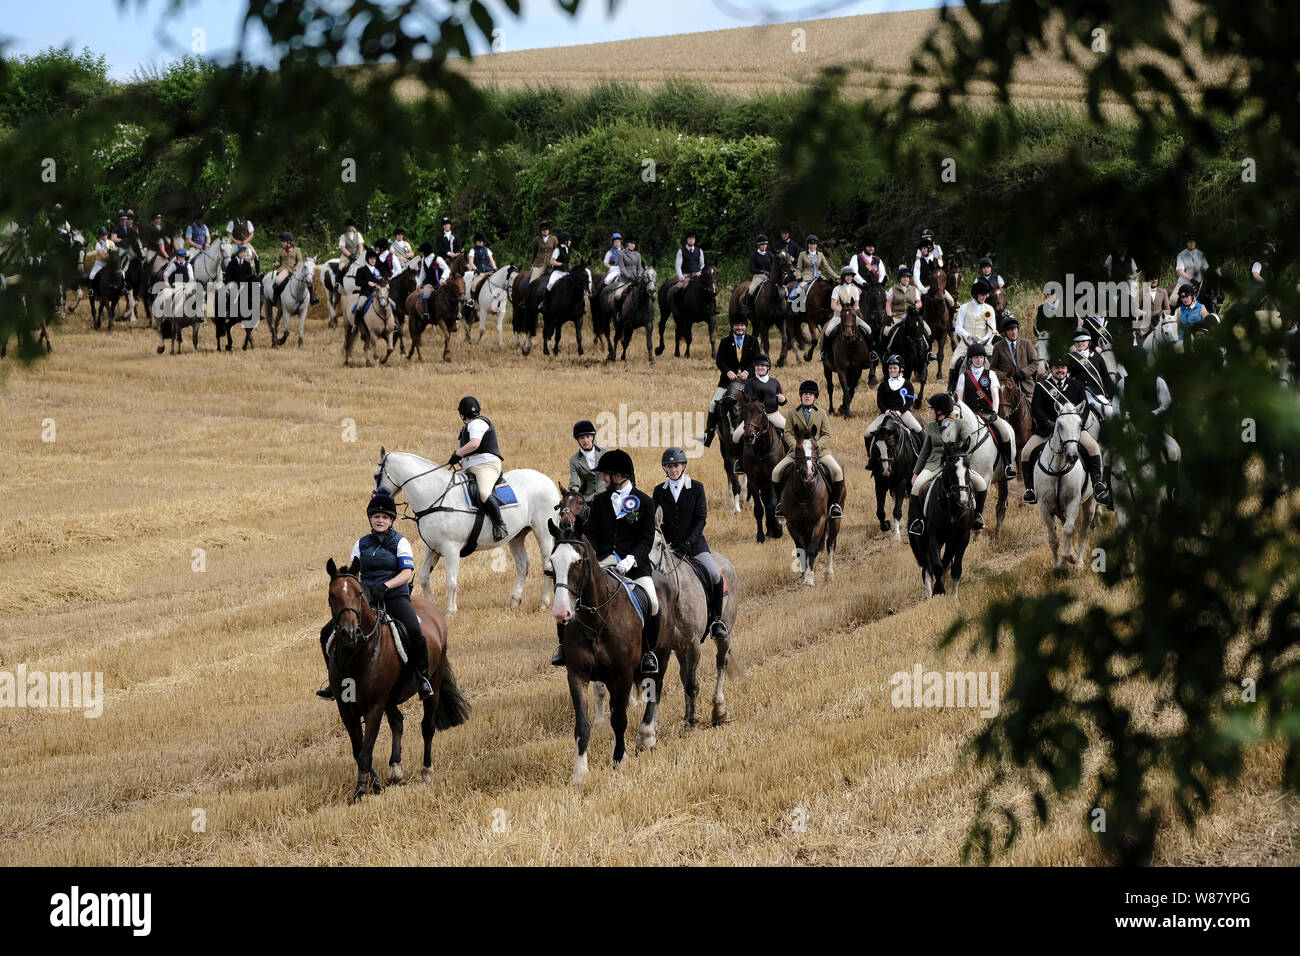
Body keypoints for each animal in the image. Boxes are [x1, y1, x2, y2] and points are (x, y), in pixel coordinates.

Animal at [325, 556, 473, 806]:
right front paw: (374, 784)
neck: (357, 654)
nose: (349, 632)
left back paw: (426, 772)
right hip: (391, 698)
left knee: (427, 726)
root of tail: (432, 609)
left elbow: (365, 751)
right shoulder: (346, 708)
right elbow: (358, 749)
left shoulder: (374, 706)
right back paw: (395, 770)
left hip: (433, 683)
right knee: (398, 722)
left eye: (359, 593)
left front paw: (360, 791)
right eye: (332, 595)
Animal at [374, 447, 561, 613]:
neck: (435, 495)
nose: (376, 498)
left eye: (376, 475)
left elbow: (451, 581)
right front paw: (432, 607)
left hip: (543, 532)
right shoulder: (432, 547)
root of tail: (547, 480)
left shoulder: (451, 547)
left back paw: (543, 604)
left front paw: (451, 611)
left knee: (547, 565)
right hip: (517, 536)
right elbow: (424, 577)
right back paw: (514, 602)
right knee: (522, 565)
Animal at [904, 442, 977, 606]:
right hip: (921, 540)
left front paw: (955, 600)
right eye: (949, 468)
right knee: (927, 569)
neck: (952, 508)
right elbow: (937, 566)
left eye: (968, 465)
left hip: (949, 541)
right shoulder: (933, 537)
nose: (963, 499)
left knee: (945, 562)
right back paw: (930, 596)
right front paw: (939, 590)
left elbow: (955, 568)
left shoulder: (963, 537)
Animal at [1034, 403, 1097, 567]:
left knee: (1082, 532)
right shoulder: (1045, 506)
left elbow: (1069, 530)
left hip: (1089, 503)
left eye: (1080, 424)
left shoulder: (1073, 501)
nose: (1072, 456)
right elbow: (1053, 539)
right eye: (1060, 425)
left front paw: (1070, 557)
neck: (1057, 468)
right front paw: (1058, 566)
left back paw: (1079, 562)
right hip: (1059, 510)